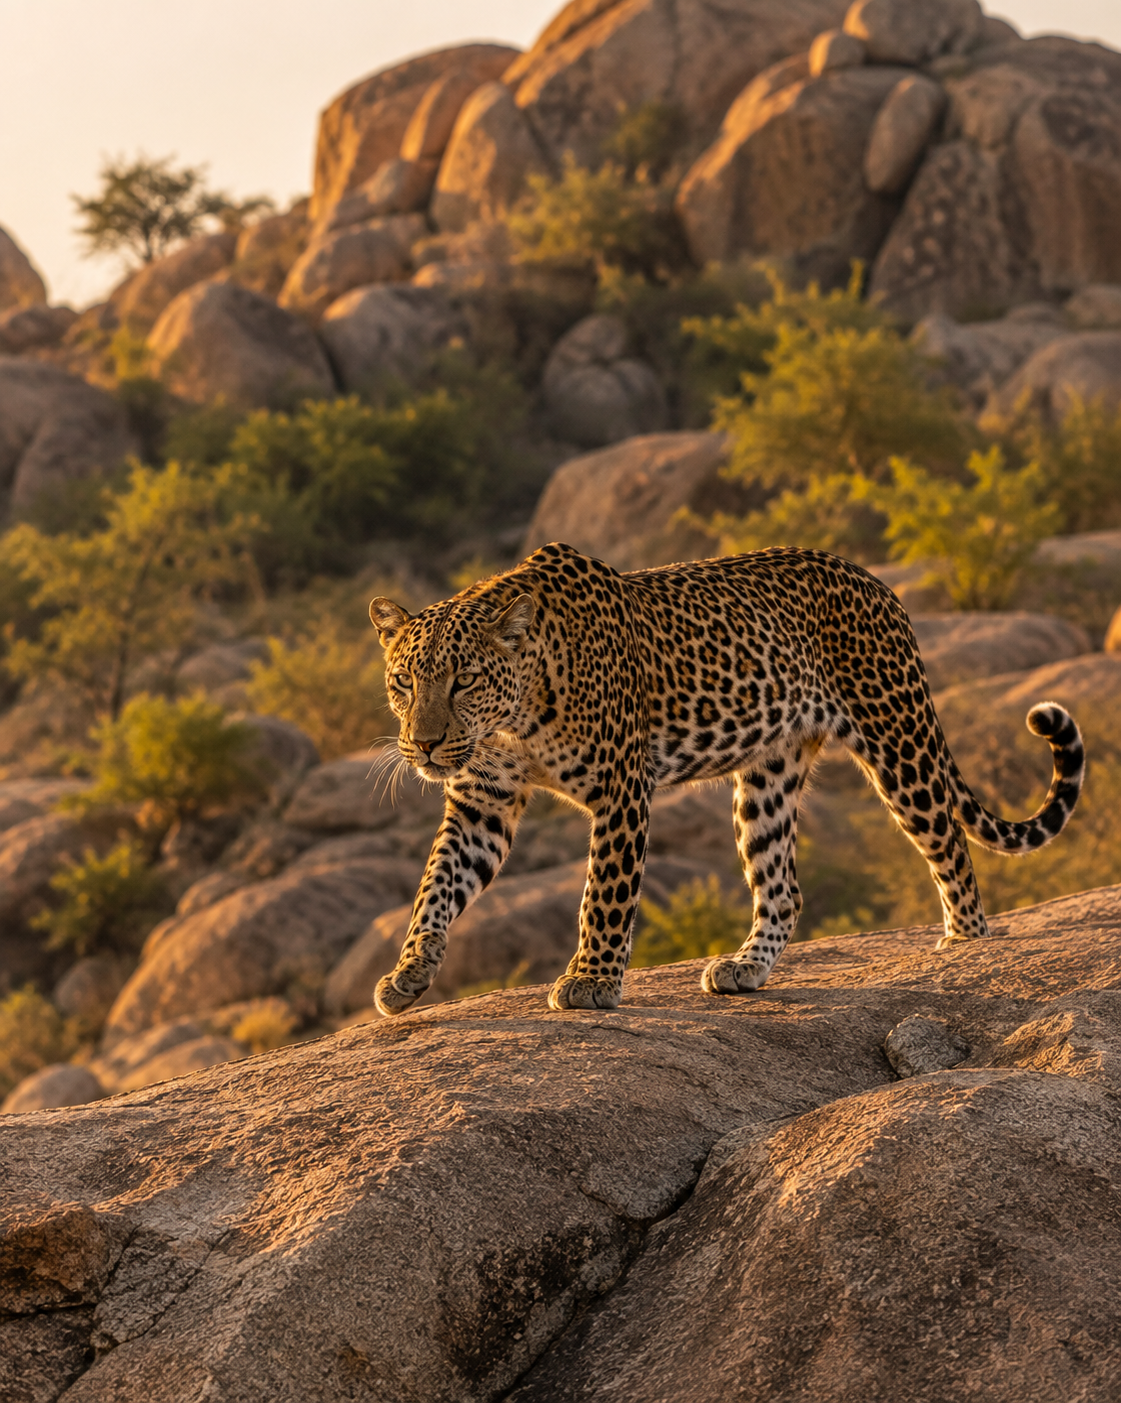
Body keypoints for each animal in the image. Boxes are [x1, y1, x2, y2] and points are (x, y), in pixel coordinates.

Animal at [368, 542, 1084, 1015]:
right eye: (403, 682)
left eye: (464, 680)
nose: (422, 745)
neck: (515, 718)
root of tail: (877, 583)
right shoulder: (483, 801)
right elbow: (438, 885)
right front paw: (409, 973)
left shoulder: (622, 788)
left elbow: (604, 892)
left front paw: (592, 979)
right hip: (768, 778)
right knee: (784, 887)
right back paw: (745, 969)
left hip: (898, 741)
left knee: (951, 848)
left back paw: (965, 945)